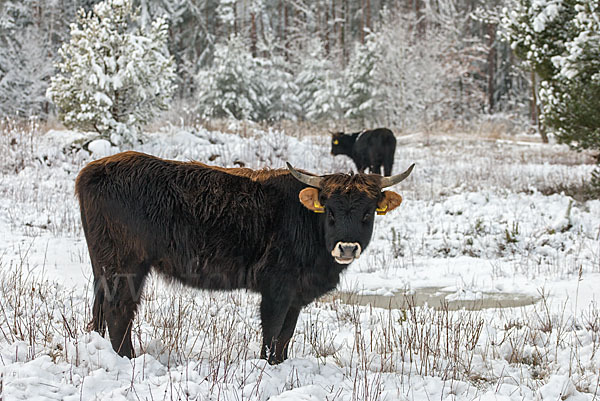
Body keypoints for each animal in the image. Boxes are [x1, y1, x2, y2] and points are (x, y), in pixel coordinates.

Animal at [75, 150, 414, 362]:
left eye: (368, 212)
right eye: (330, 210)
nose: (346, 247)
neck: (306, 221)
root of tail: (93, 170)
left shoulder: (295, 297)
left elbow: (286, 336)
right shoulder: (276, 289)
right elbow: (272, 332)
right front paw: (267, 366)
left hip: (103, 268)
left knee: (101, 310)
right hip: (125, 267)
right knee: (120, 311)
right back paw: (129, 359)